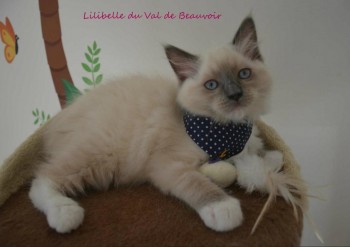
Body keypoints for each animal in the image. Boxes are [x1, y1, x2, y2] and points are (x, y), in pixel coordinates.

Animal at [26, 17, 284, 233]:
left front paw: (267, 163)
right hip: (99, 154)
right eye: (211, 85)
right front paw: (224, 209)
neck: (228, 129)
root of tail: (59, 119)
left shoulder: (246, 147)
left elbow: (264, 157)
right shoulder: (167, 165)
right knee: (40, 180)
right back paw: (64, 213)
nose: (235, 95)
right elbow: (199, 184)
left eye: (244, 74)